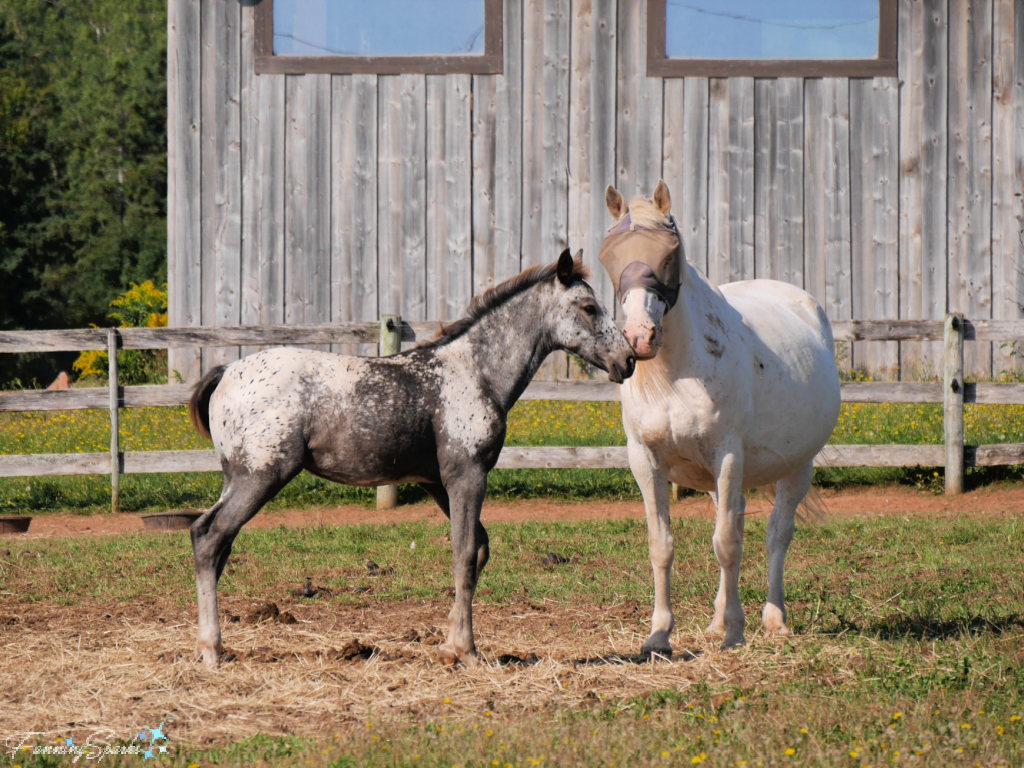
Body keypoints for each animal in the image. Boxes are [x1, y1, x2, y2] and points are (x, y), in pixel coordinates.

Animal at [186, 252, 630, 667]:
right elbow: (464, 554)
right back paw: (211, 651)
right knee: (209, 536)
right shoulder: (467, 476)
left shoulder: (435, 482)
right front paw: (467, 651)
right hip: (260, 476)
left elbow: (479, 550)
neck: (477, 373)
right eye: (589, 307)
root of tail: (225, 372)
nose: (627, 360)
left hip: (236, 478)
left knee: (214, 541)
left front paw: (449, 646)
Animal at [598, 182, 839, 655]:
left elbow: (726, 544)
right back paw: (717, 620)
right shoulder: (645, 461)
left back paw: (773, 619)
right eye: (611, 256)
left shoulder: (727, 455)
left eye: (668, 254)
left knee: (776, 534)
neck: (674, 375)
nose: (639, 337)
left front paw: (734, 632)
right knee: (739, 522)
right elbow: (662, 545)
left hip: (796, 467)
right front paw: (659, 635)